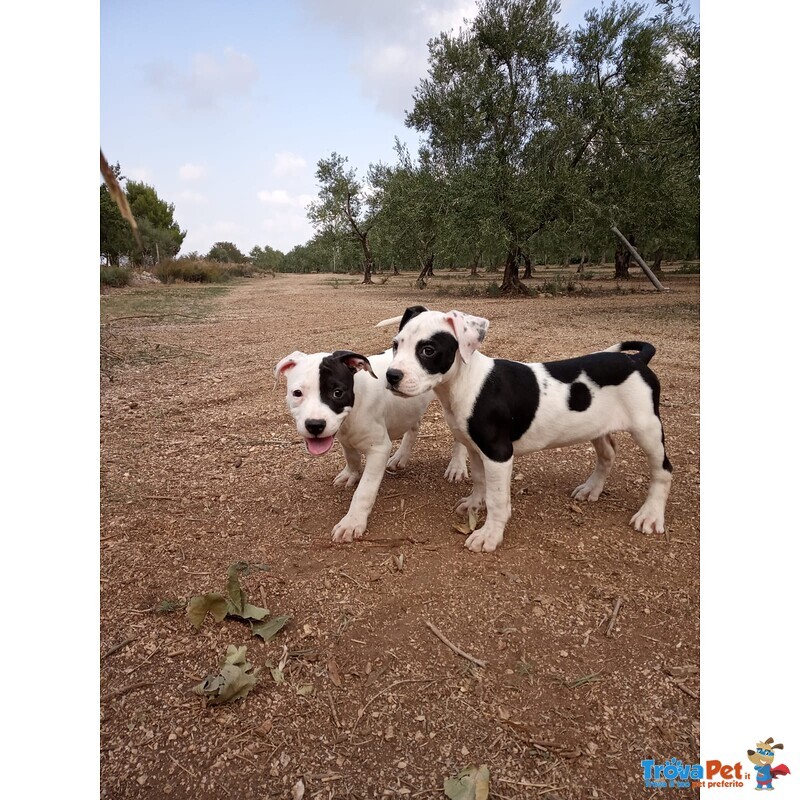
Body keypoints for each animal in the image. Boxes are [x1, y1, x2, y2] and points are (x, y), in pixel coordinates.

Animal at [276, 346, 468, 540]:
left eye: (338, 392)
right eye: (297, 393)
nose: (315, 425)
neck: (354, 407)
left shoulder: (379, 449)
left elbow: (364, 491)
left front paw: (352, 522)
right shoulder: (344, 438)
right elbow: (351, 457)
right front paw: (351, 474)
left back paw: (457, 466)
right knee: (413, 426)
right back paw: (400, 457)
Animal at [384, 304, 672, 552]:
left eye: (428, 350)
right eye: (396, 345)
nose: (391, 376)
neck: (466, 381)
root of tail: (637, 361)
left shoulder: (498, 453)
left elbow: (498, 499)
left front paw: (489, 534)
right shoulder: (476, 449)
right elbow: (480, 481)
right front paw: (475, 504)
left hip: (647, 428)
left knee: (663, 470)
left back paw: (650, 515)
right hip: (597, 426)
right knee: (608, 454)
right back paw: (592, 489)